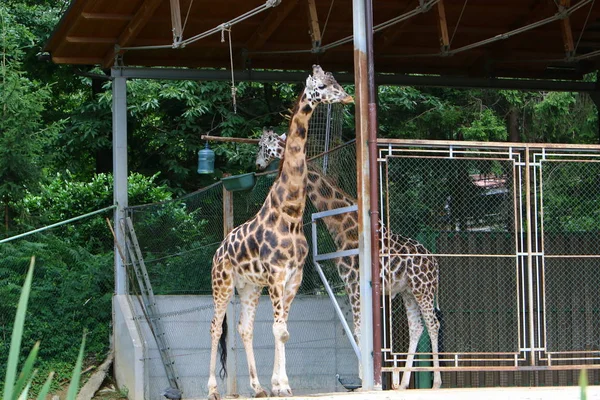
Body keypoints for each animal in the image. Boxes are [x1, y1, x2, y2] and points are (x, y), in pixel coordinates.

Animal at [209, 64, 354, 398]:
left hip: (248, 287)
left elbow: (284, 330)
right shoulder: (276, 275)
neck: (291, 213)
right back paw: (211, 389)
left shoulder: (293, 277)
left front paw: (278, 384)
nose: (348, 97)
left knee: (244, 328)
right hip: (221, 284)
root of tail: (218, 251)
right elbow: (279, 329)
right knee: (215, 326)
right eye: (322, 86)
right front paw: (284, 385)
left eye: (337, 81)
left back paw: (257, 387)